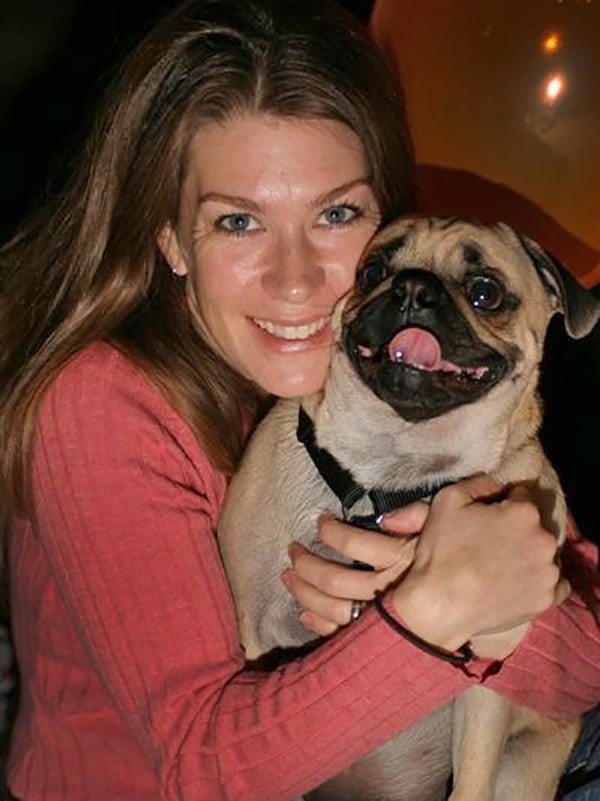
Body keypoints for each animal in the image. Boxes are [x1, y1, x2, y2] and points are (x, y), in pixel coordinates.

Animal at [218, 217, 596, 800]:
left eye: (484, 292)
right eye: (372, 271)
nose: (414, 289)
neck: (393, 471)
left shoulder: (484, 677)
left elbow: (472, 778)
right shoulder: (257, 630)